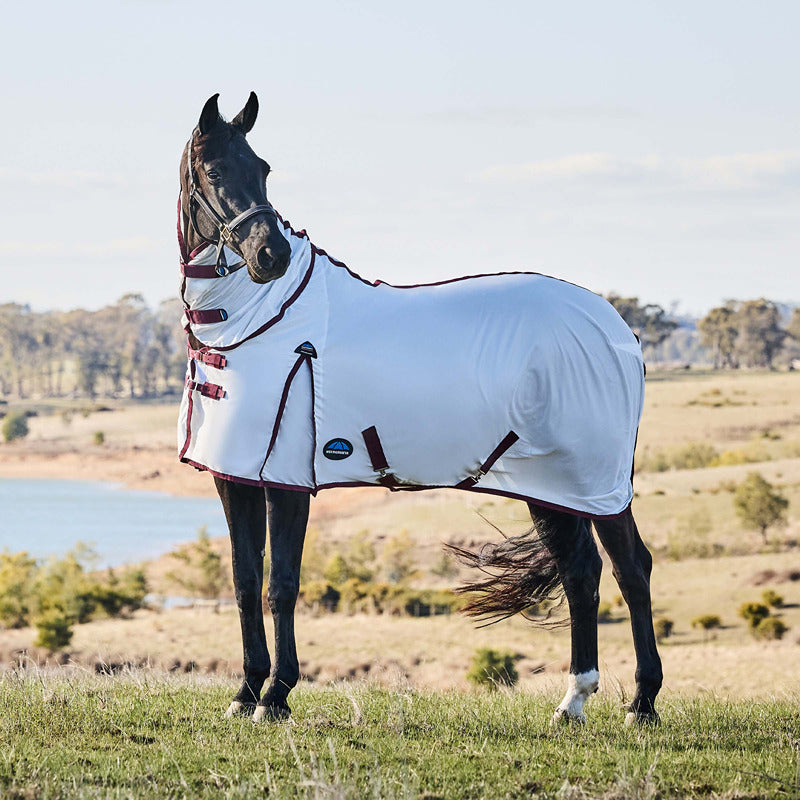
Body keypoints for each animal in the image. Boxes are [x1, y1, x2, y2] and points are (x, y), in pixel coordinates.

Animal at [176, 92, 663, 725]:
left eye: (262, 168)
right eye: (215, 171)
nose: (271, 255)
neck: (258, 322)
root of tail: (620, 331)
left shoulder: (287, 480)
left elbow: (281, 584)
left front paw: (276, 696)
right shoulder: (233, 476)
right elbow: (242, 579)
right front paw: (246, 692)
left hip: (598, 485)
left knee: (632, 569)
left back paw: (642, 704)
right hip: (552, 488)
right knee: (583, 573)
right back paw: (573, 702)